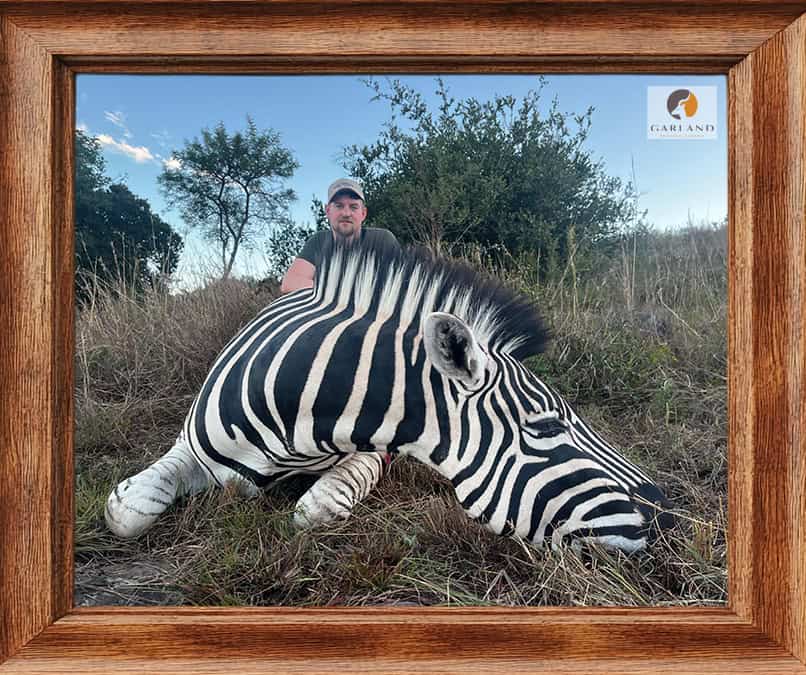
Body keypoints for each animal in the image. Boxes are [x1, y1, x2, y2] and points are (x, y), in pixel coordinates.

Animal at [105, 242, 674, 553]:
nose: (668, 514)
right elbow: (128, 510)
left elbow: (317, 508)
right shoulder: (189, 446)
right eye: (549, 426)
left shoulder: (372, 451)